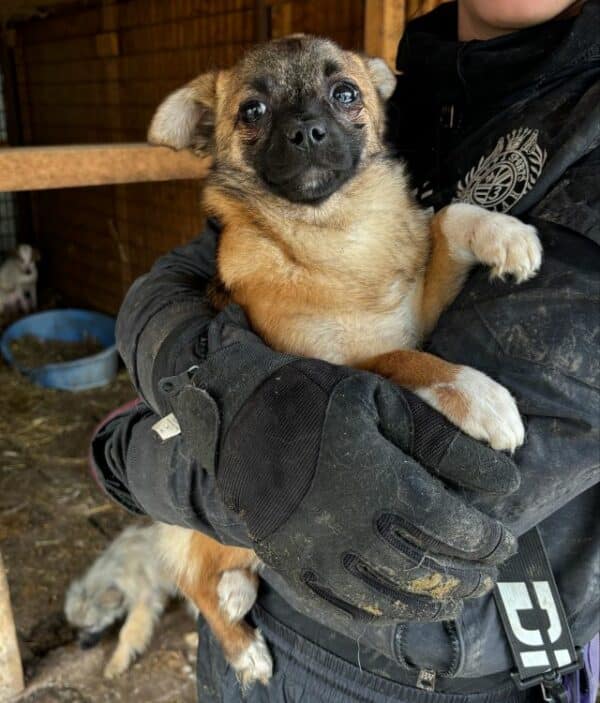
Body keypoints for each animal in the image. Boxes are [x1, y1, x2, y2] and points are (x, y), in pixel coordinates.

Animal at [148, 35, 540, 692]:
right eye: (252, 111)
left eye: (346, 94)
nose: (307, 130)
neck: (333, 236)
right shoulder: (329, 358)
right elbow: (398, 358)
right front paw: (477, 393)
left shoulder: (420, 308)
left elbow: (449, 219)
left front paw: (504, 234)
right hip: (207, 535)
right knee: (195, 575)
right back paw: (242, 644)